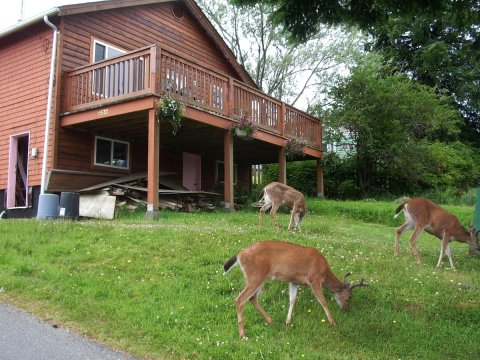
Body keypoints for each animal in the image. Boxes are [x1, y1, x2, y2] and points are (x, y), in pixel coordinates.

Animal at [223, 240, 370, 338]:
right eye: (349, 296)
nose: (346, 308)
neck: (324, 271)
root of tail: (240, 255)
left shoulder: (294, 281)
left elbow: (292, 300)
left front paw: (288, 322)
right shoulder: (314, 279)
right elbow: (323, 301)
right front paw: (333, 322)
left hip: (261, 277)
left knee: (252, 297)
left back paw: (270, 321)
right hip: (256, 275)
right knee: (240, 299)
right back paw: (242, 334)